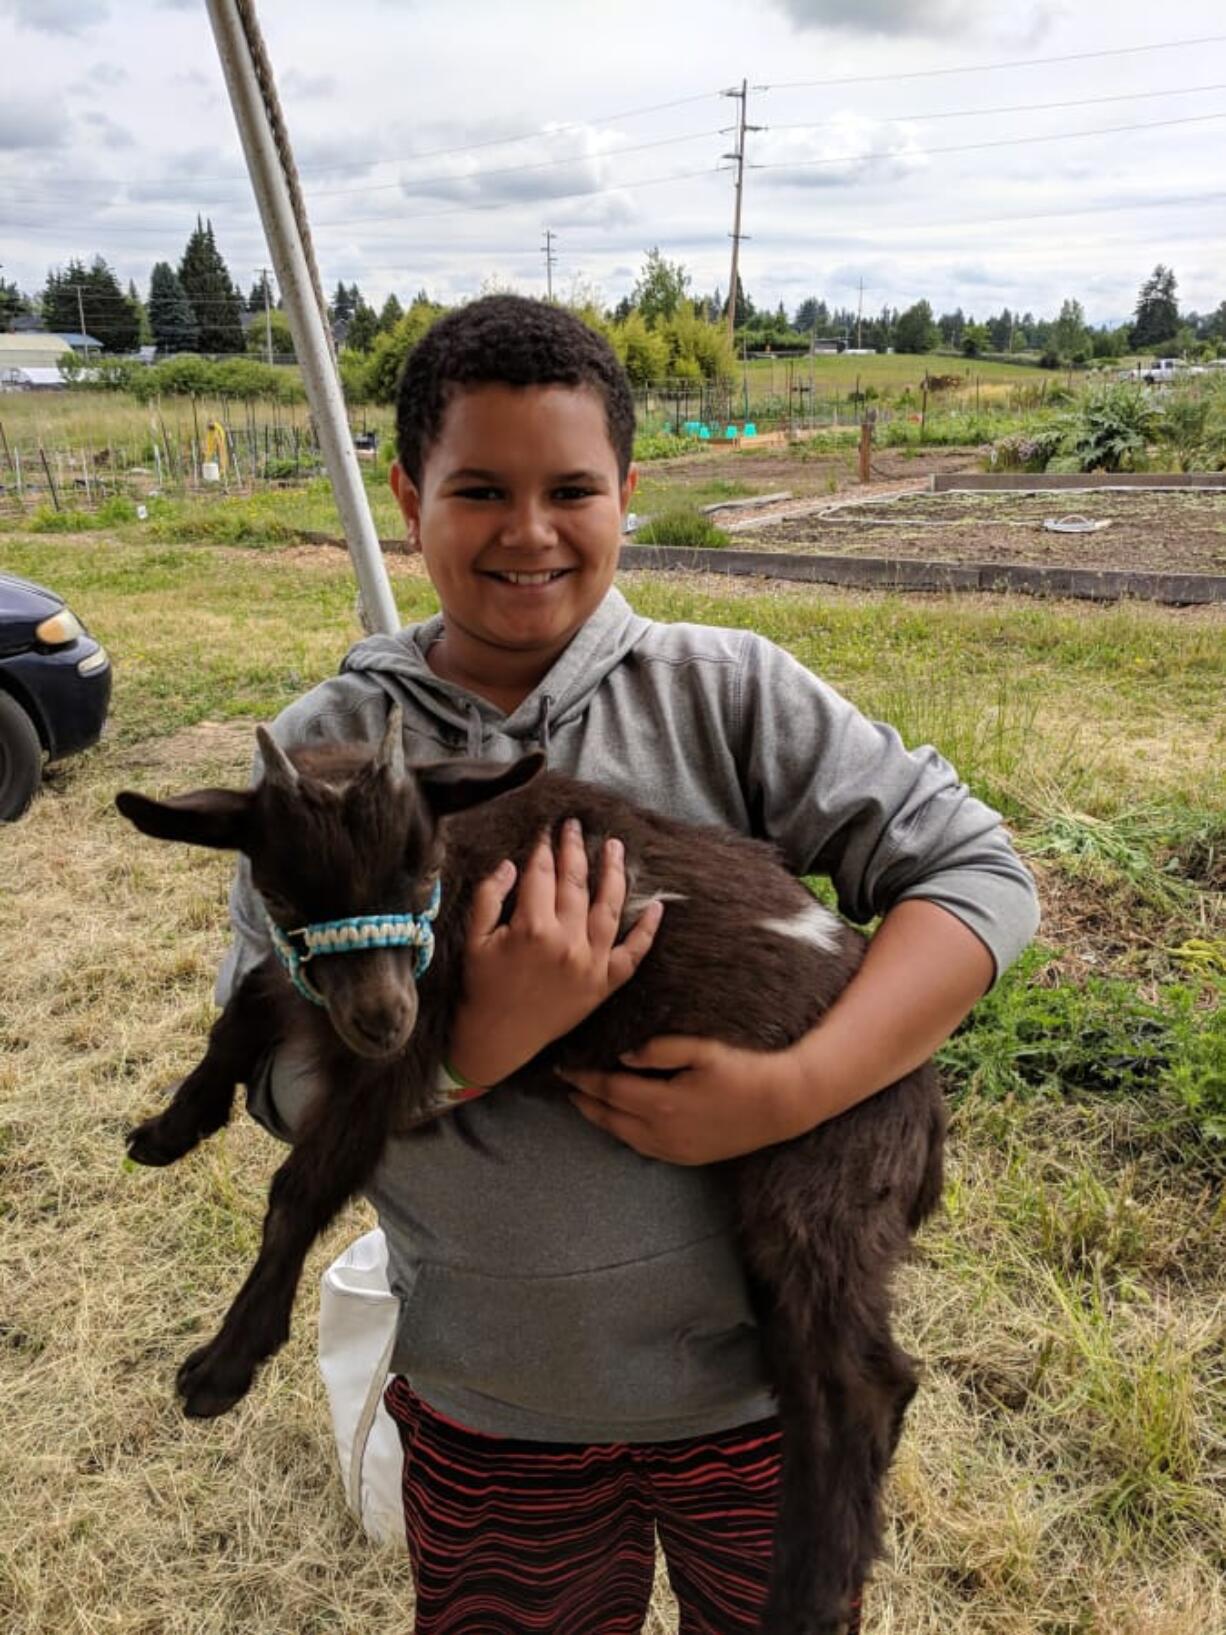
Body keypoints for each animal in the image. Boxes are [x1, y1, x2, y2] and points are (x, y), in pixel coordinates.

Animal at [115, 706, 948, 1635]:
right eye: (286, 897)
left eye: (422, 872)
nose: (382, 1019)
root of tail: (923, 1110)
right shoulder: (324, 1002)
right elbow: (246, 1005)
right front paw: (168, 1128)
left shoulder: (407, 1051)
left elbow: (300, 1185)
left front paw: (223, 1365)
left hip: (819, 1180)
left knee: (861, 1382)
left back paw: (809, 1595)